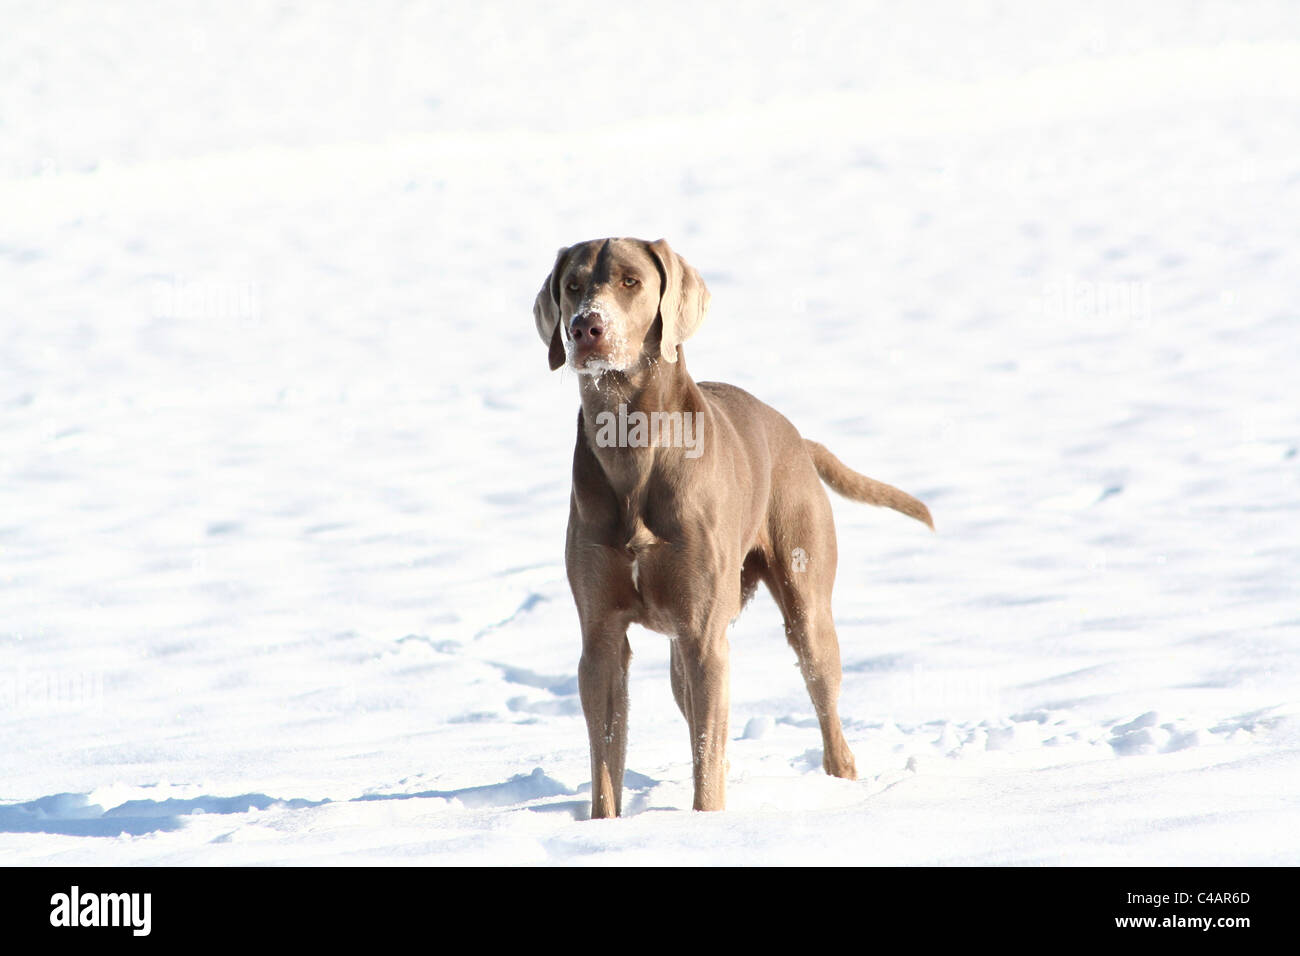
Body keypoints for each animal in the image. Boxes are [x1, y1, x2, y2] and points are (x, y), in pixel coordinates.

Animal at [533, 239, 930, 816]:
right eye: (572, 286)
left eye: (631, 281)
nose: (586, 327)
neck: (632, 448)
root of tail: (799, 438)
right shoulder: (601, 637)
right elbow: (607, 762)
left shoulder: (704, 636)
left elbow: (706, 755)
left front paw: (707, 823)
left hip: (804, 604)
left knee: (825, 713)